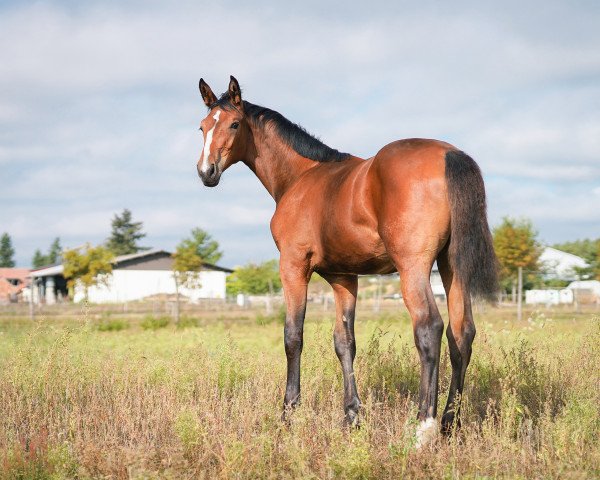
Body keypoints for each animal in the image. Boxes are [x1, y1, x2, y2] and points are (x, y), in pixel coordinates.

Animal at [196, 75, 496, 446]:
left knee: (429, 329)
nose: (206, 172)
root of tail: (450, 154)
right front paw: (352, 416)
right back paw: (449, 423)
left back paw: (423, 428)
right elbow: (344, 342)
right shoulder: (343, 278)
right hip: (451, 266)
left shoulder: (293, 266)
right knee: (461, 334)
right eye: (202, 126)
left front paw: (288, 414)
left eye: (234, 124)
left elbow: (293, 337)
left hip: (413, 268)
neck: (301, 178)